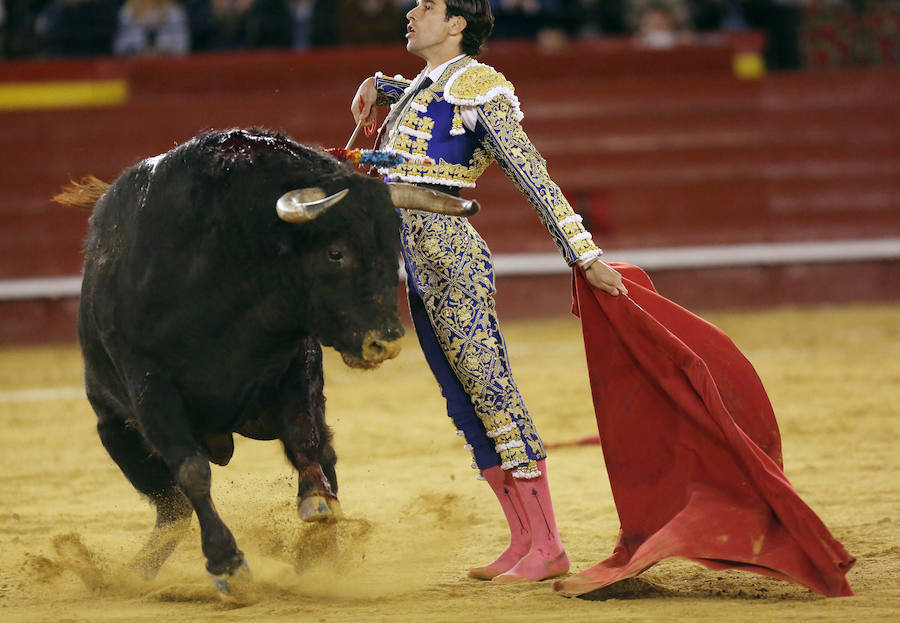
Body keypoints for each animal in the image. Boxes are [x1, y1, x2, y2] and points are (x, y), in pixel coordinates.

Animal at [53, 128, 478, 596]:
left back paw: (320, 553)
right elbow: (192, 471)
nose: (384, 342)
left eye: (392, 251)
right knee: (173, 510)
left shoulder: (294, 365)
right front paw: (226, 563)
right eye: (335, 253)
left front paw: (317, 502)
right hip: (116, 431)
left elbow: (304, 442)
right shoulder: (149, 383)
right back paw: (134, 573)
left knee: (323, 452)